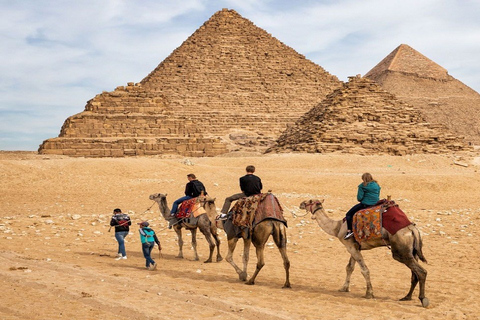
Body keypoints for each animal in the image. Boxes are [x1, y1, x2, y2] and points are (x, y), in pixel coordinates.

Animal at [298, 200, 430, 308]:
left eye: (310, 201)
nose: (301, 203)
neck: (337, 228)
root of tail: (412, 230)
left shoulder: (350, 246)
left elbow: (364, 270)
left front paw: (369, 294)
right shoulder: (354, 246)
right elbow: (349, 267)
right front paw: (344, 288)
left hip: (400, 251)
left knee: (421, 272)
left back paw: (423, 299)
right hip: (412, 251)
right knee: (414, 274)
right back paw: (407, 297)